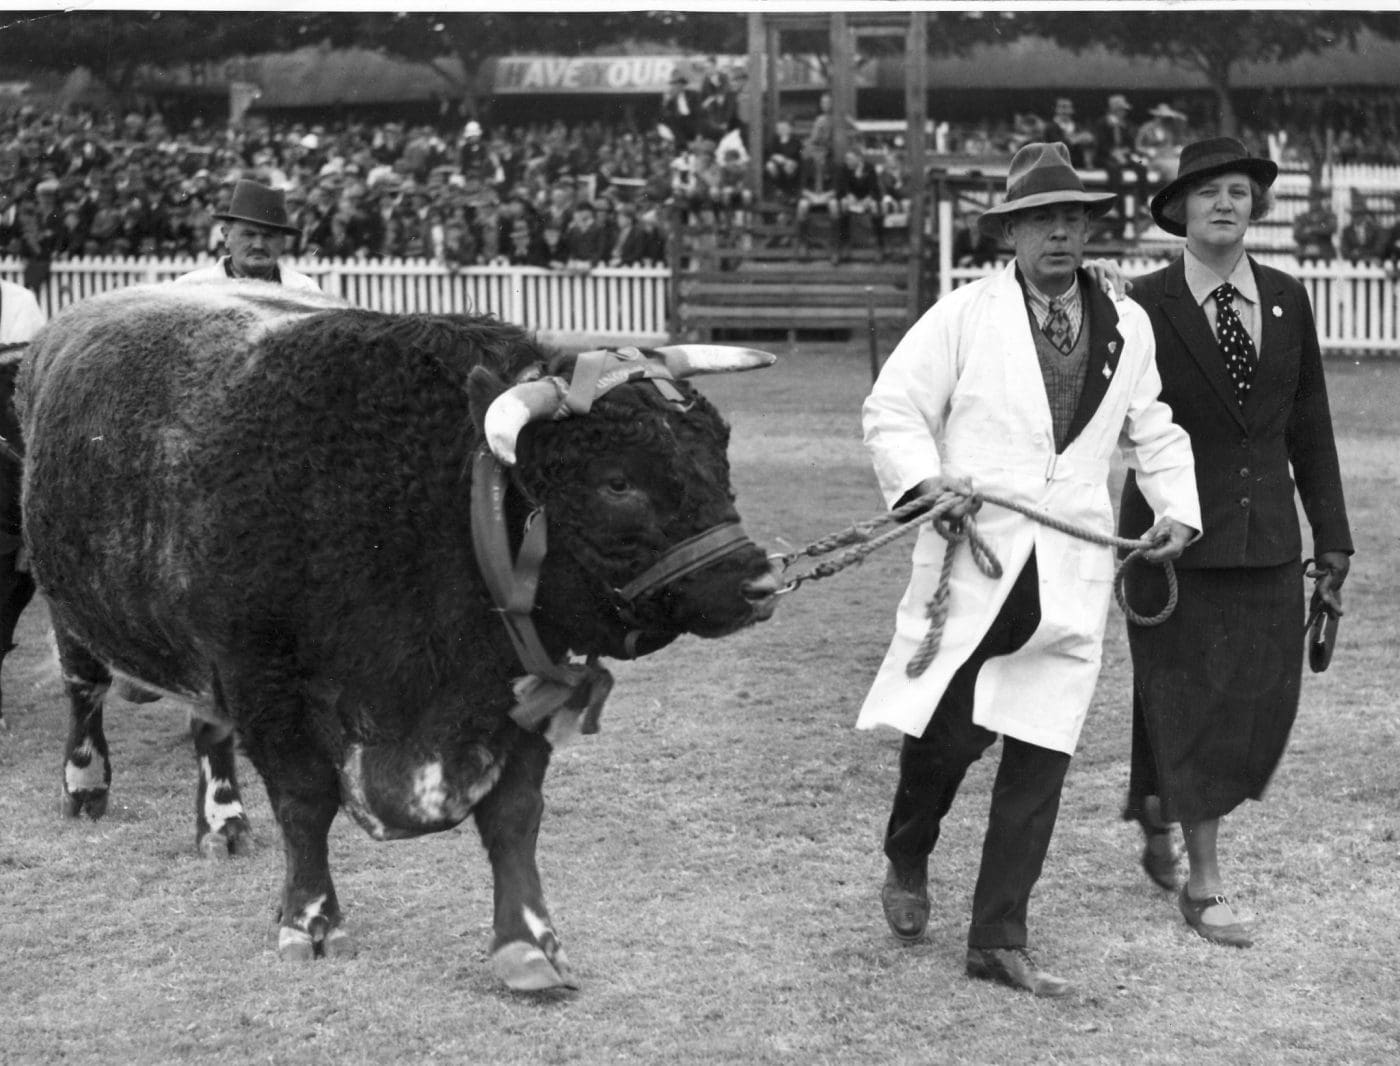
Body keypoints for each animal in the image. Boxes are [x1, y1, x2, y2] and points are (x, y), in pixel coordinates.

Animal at [21, 284, 784, 991]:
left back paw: (223, 822)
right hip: (76, 614)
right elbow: (306, 803)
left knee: (207, 729)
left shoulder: (518, 683)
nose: (759, 582)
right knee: (85, 692)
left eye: (718, 453)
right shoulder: (264, 680)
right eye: (617, 481)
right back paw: (86, 785)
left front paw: (529, 943)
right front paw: (309, 920)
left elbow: (514, 814)